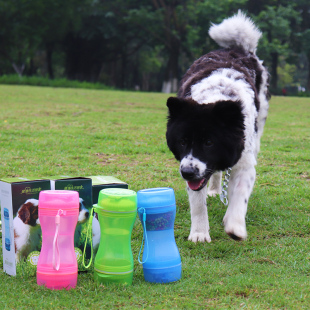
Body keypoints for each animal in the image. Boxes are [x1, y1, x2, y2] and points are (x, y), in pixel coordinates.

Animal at [166, 10, 270, 242]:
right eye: (182, 141)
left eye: (209, 142)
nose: (187, 172)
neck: (217, 98)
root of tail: (237, 48)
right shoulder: (193, 167)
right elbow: (197, 202)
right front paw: (199, 233)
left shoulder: (244, 161)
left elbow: (239, 195)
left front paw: (235, 225)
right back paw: (214, 190)